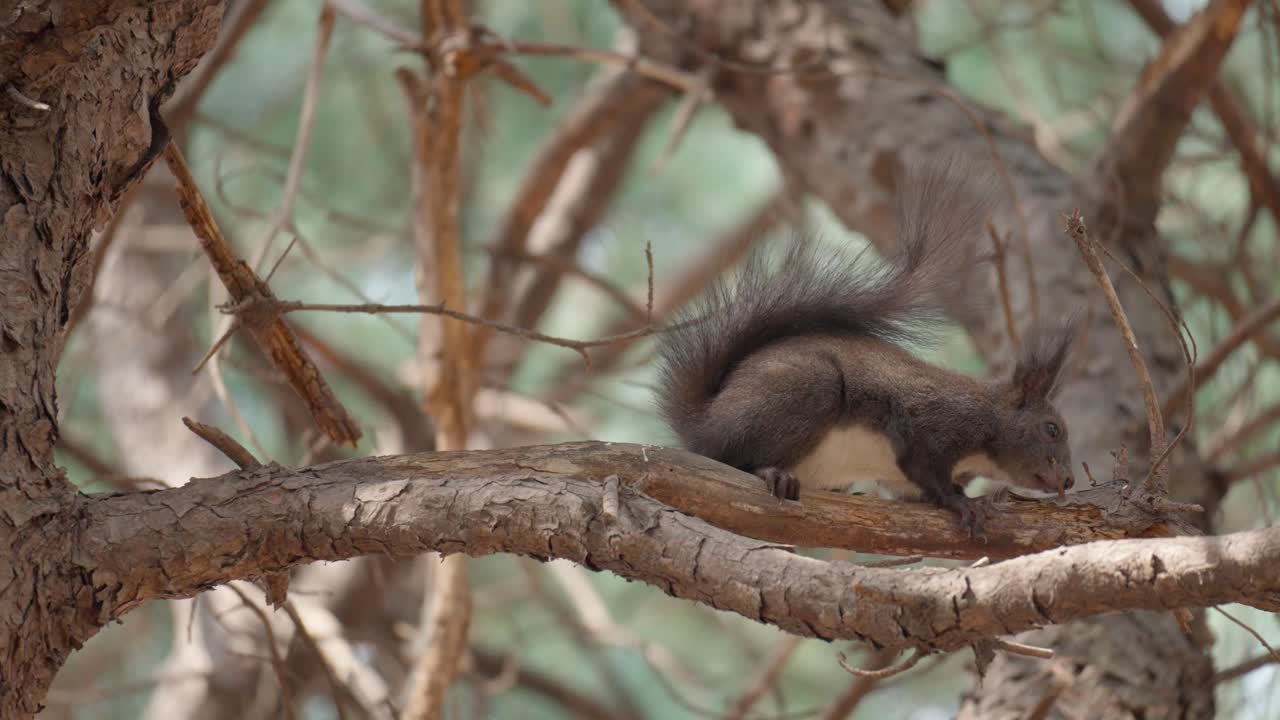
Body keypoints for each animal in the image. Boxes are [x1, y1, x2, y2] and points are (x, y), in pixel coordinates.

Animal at [653, 157, 1076, 535]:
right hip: (804, 389)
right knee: (730, 457)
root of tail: (702, 424)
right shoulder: (933, 421)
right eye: (1052, 428)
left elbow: (911, 487)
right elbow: (924, 466)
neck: (989, 419)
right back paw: (772, 473)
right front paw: (961, 503)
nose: (1070, 481)